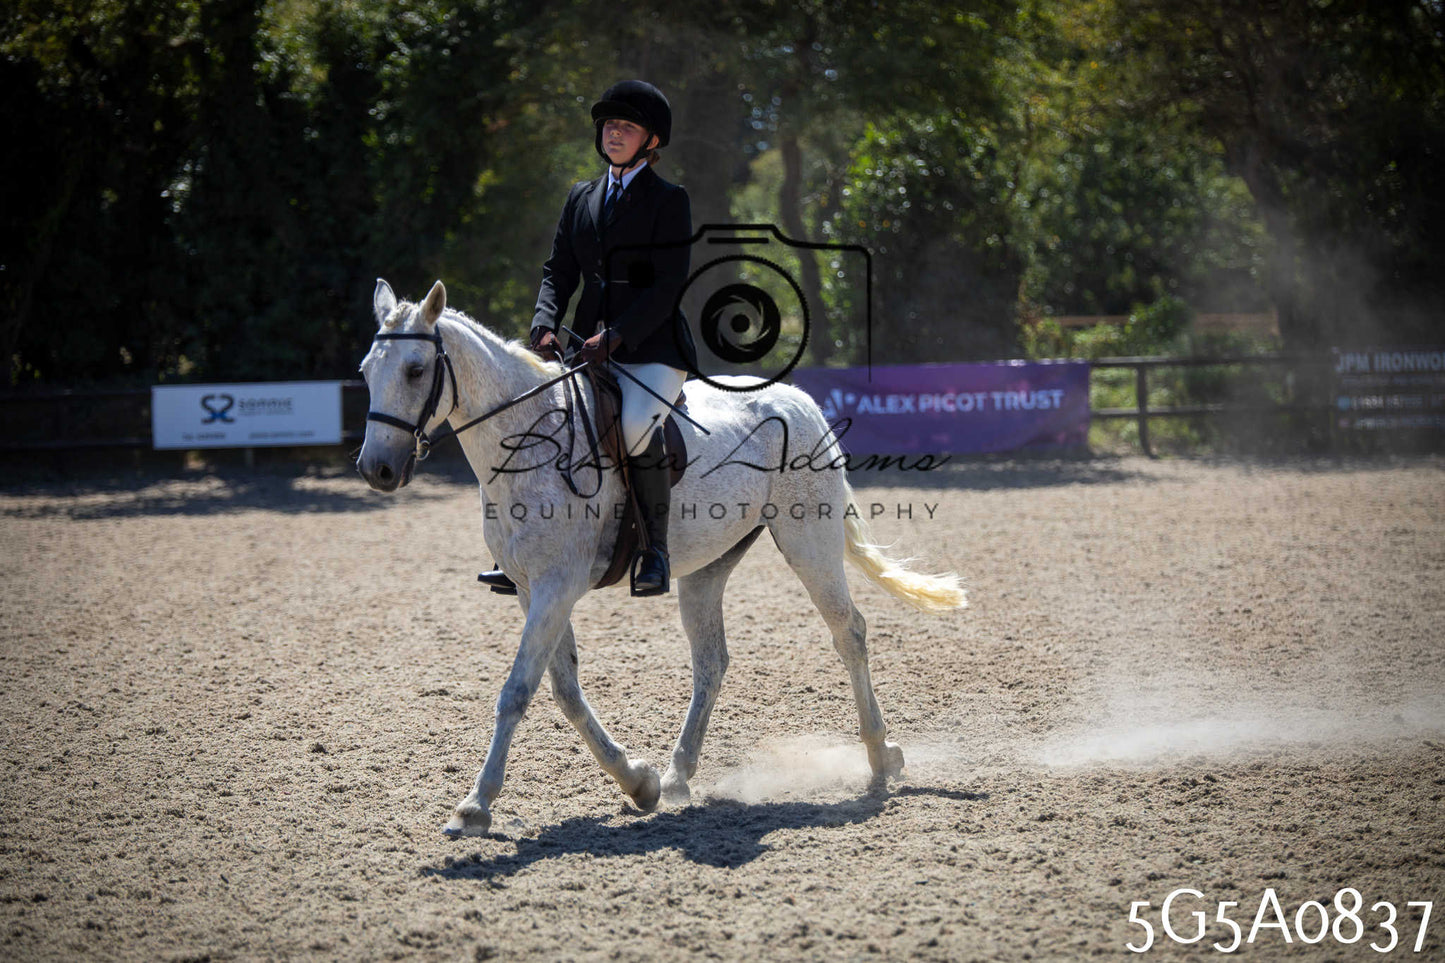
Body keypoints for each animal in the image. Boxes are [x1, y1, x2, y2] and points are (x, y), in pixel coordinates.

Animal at [356, 279, 966, 838]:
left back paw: (880, 757)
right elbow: (566, 691)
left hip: (807, 541)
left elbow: (517, 691)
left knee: (849, 632)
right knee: (712, 661)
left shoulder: (556, 586)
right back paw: (676, 776)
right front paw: (638, 782)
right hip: (706, 569)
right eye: (366, 371)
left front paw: (475, 806)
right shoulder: (533, 590)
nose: (376, 470)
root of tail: (798, 400)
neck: (528, 440)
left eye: (415, 370)